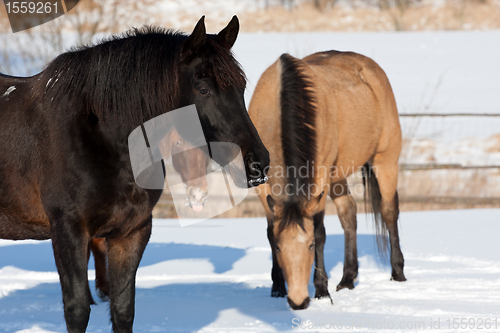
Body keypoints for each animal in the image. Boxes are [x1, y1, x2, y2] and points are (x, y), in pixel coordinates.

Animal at [0, 16, 270, 332]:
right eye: (204, 89)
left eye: (241, 86)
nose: (257, 164)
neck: (103, 137)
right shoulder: (68, 231)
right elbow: (77, 310)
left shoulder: (131, 232)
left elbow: (123, 309)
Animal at [250, 51, 406, 308]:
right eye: (280, 248)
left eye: (310, 246)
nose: (298, 301)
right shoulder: (262, 187)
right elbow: (270, 231)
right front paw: (277, 287)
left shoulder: (319, 179)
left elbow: (319, 231)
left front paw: (322, 290)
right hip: (337, 177)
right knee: (349, 213)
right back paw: (347, 279)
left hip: (385, 160)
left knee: (389, 212)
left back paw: (398, 273)